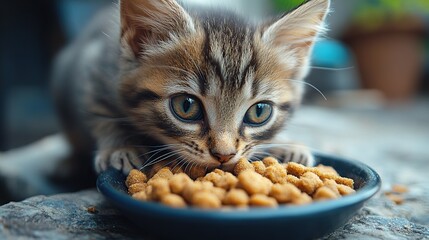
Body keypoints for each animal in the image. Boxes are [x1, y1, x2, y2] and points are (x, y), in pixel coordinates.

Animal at [51, 0, 330, 174]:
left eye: (259, 112)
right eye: (186, 106)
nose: (224, 155)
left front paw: (286, 144)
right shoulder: (95, 67)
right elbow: (99, 113)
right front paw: (120, 146)